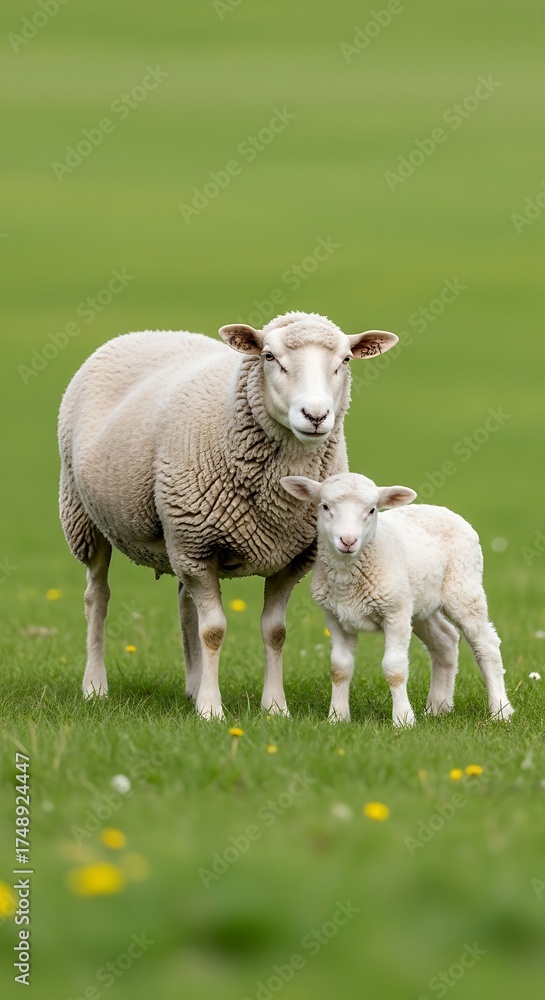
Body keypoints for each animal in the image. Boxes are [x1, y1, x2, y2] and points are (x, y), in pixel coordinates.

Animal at [58, 312, 399, 719]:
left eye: (345, 360)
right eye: (269, 356)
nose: (315, 416)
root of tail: (146, 332)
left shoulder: (291, 559)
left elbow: (275, 631)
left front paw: (275, 707)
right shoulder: (196, 546)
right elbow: (214, 631)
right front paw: (211, 710)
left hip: (178, 540)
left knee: (185, 605)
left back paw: (191, 685)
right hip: (87, 517)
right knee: (97, 597)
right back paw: (95, 686)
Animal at [281, 472, 514, 725]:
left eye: (372, 510)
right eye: (324, 506)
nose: (348, 541)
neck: (348, 580)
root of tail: (442, 509)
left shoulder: (395, 613)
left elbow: (394, 669)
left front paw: (403, 720)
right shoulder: (335, 616)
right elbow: (339, 668)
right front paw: (337, 717)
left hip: (462, 589)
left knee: (486, 645)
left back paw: (500, 711)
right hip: (419, 603)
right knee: (445, 641)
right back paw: (437, 708)